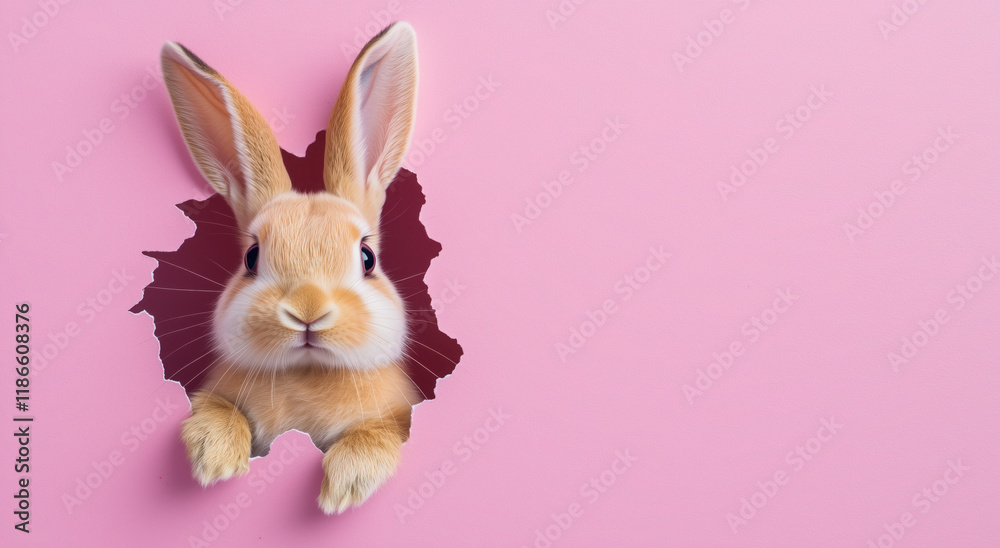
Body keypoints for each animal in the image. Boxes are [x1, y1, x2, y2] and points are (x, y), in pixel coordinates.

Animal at [160, 22, 420, 514]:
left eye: (367, 258)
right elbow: (218, 410)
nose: (307, 310)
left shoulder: (397, 418)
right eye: (251, 257)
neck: (308, 372)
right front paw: (213, 457)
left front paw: (344, 486)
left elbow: (377, 436)